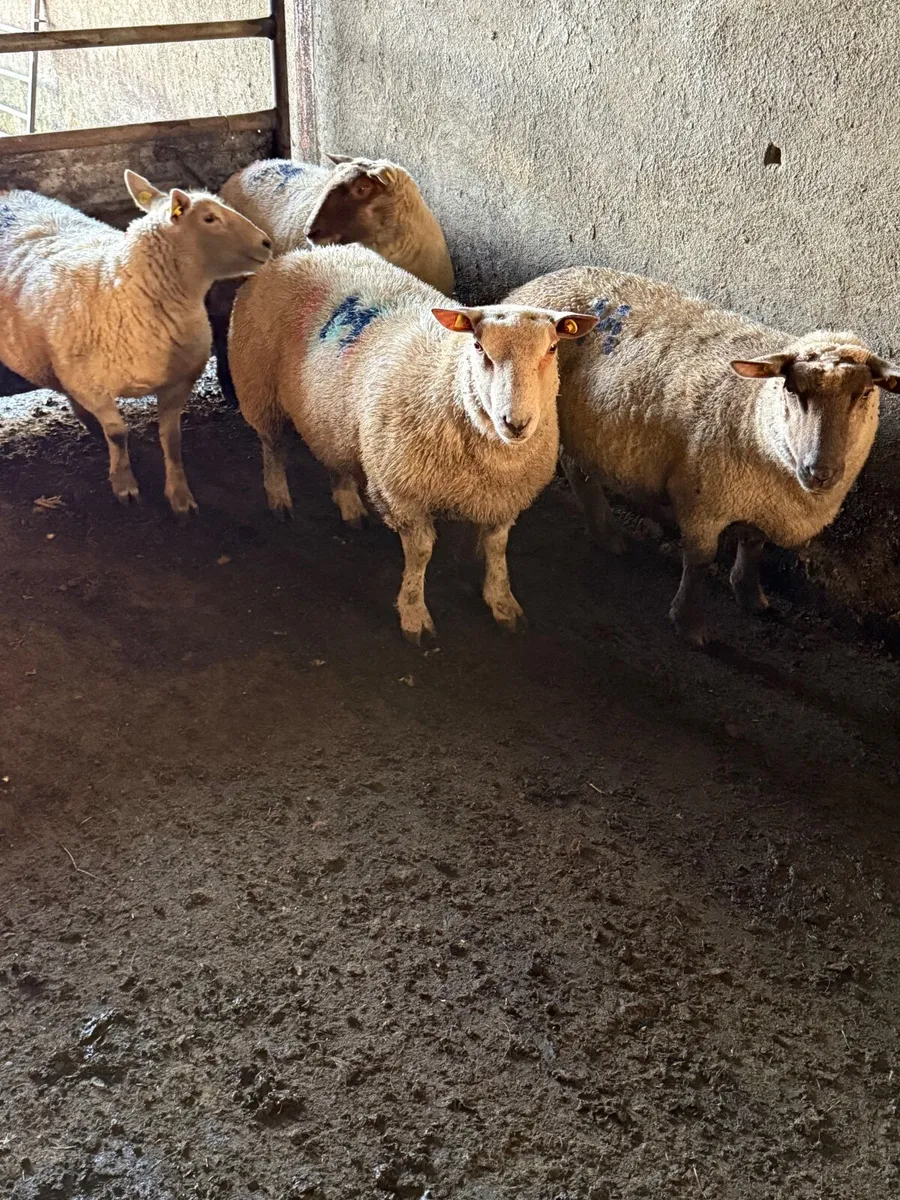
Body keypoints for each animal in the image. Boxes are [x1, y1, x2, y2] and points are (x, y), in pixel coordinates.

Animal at [0, 172, 271, 515]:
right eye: (210, 218)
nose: (267, 243)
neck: (121, 290)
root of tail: (7, 192)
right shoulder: (93, 386)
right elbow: (118, 433)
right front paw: (124, 484)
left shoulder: (177, 383)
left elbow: (172, 440)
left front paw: (180, 495)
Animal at [229, 244, 596, 641]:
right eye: (479, 346)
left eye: (552, 348)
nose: (515, 423)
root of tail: (298, 254)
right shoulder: (401, 492)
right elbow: (420, 554)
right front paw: (413, 613)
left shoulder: (502, 499)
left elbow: (497, 550)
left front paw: (502, 602)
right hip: (258, 386)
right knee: (272, 447)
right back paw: (279, 497)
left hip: (332, 415)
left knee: (334, 457)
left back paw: (348, 504)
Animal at [506, 266, 900, 644]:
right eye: (791, 388)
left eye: (865, 393)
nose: (818, 471)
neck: (755, 410)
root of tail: (537, 285)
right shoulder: (703, 499)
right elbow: (699, 561)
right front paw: (690, 622)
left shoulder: (761, 499)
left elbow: (753, 544)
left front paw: (750, 596)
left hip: (583, 424)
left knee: (577, 467)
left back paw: (605, 534)